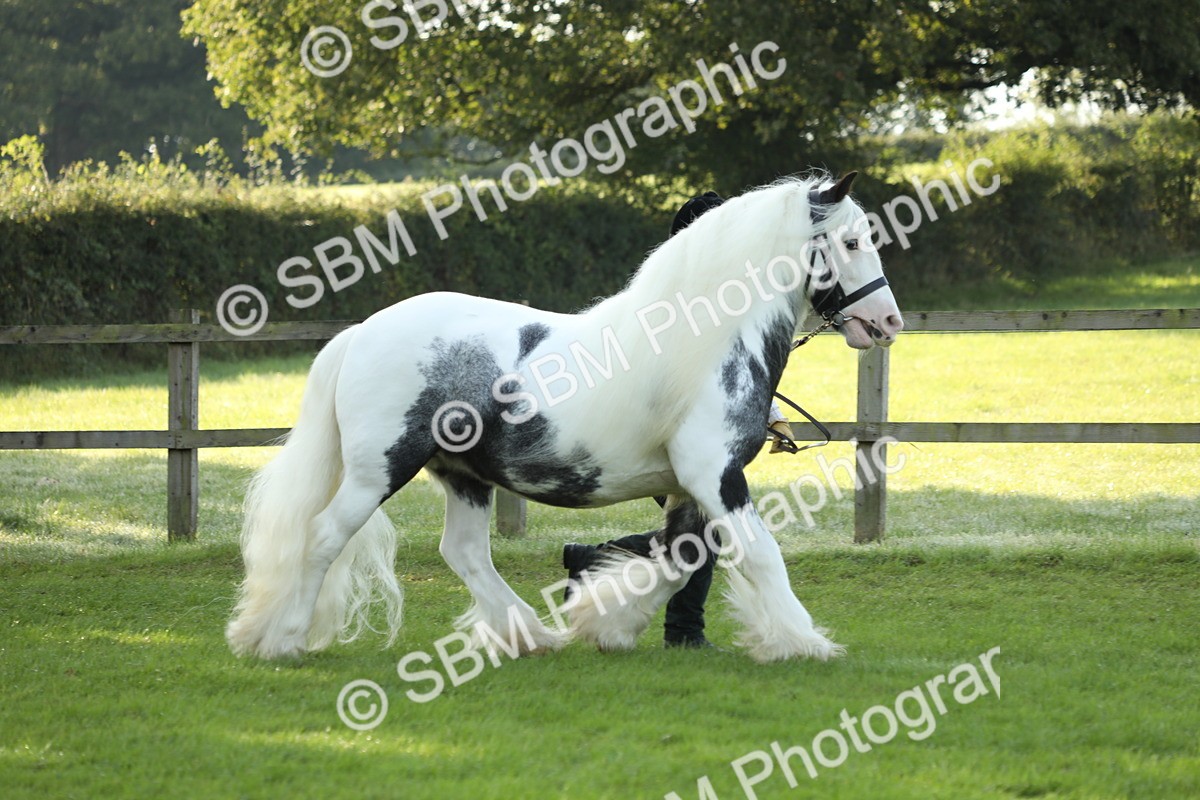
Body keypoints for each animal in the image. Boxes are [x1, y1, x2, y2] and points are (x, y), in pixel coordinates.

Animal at [226, 171, 903, 663]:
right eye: (849, 242)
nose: (888, 322)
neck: (707, 340)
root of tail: (362, 332)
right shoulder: (713, 475)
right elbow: (759, 555)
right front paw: (804, 641)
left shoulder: (688, 486)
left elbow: (678, 560)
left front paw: (608, 625)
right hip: (379, 471)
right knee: (322, 536)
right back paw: (283, 640)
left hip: (463, 475)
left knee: (464, 552)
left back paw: (529, 635)